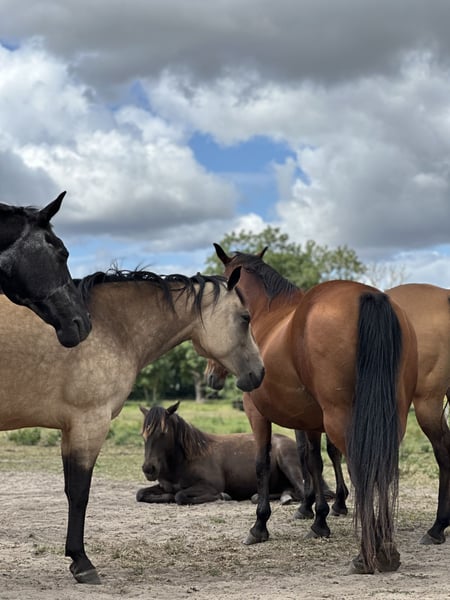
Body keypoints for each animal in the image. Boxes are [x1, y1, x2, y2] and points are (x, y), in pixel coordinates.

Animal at [0, 266, 264, 585]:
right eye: (245, 317)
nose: (259, 372)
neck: (110, 327)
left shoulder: (72, 430)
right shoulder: (88, 425)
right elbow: (78, 493)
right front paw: (81, 562)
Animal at [136, 401, 305, 505]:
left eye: (163, 432)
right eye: (143, 434)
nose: (148, 469)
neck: (185, 460)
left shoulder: (210, 486)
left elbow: (180, 495)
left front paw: (223, 496)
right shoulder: (165, 486)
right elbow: (140, 494)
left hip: (287, 463)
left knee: (302, 491)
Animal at [212, 243, 418, 574]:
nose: (212, 375)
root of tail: (368, 296)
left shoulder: (257, 415)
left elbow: (263, 463)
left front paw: (260, 525)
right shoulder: (309, 421)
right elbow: (314, 461)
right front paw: (319, 518)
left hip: (342, 419)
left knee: (362, 470)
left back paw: (366, 555)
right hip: (391, 418)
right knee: (381, 472)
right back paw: (387, 549)